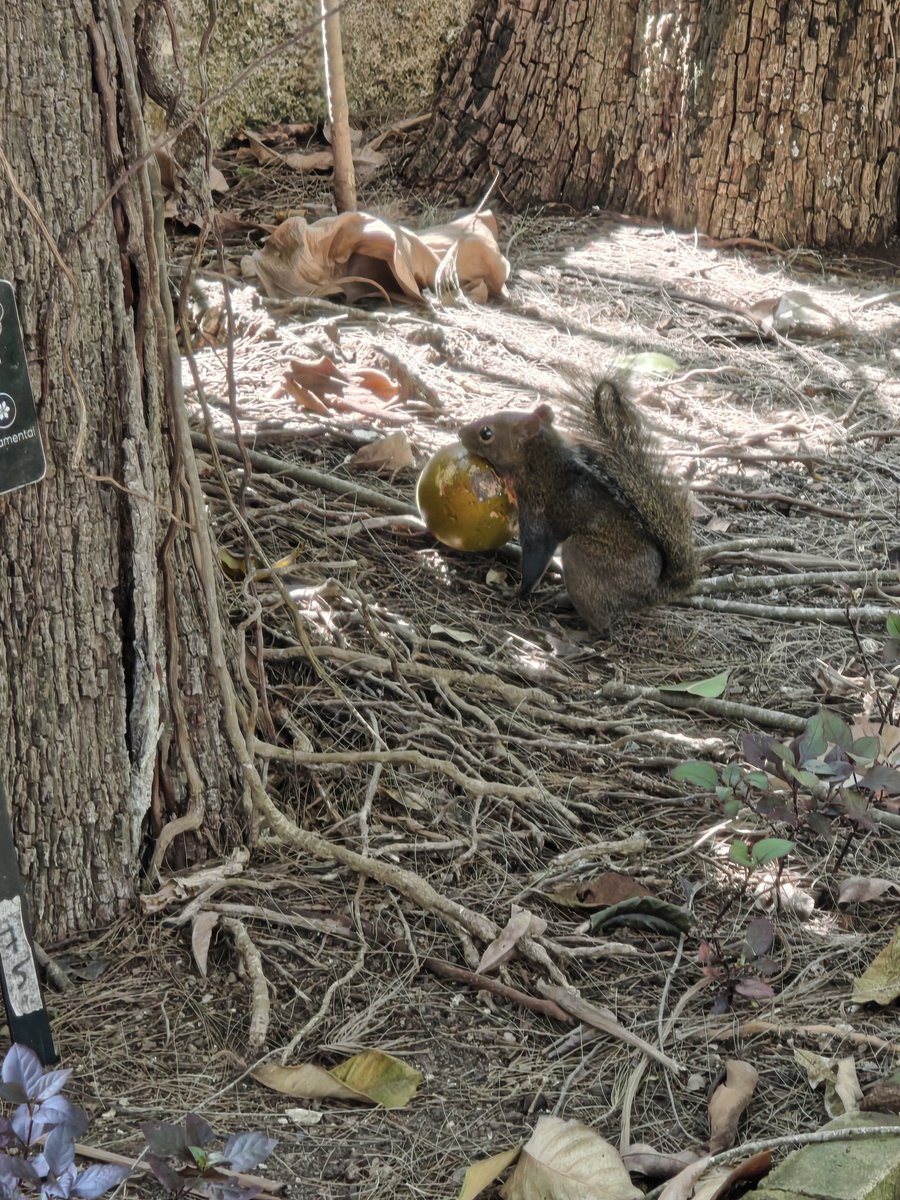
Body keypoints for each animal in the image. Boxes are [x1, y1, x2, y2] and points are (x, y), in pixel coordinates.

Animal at [457, 376, 698, 633]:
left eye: (486, 433)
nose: (460, 432)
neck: (540, 460)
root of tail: (650, 592)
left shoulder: (536, 510)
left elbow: (535, 556)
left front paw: (515, 592)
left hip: (582, 557)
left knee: (604, 625)